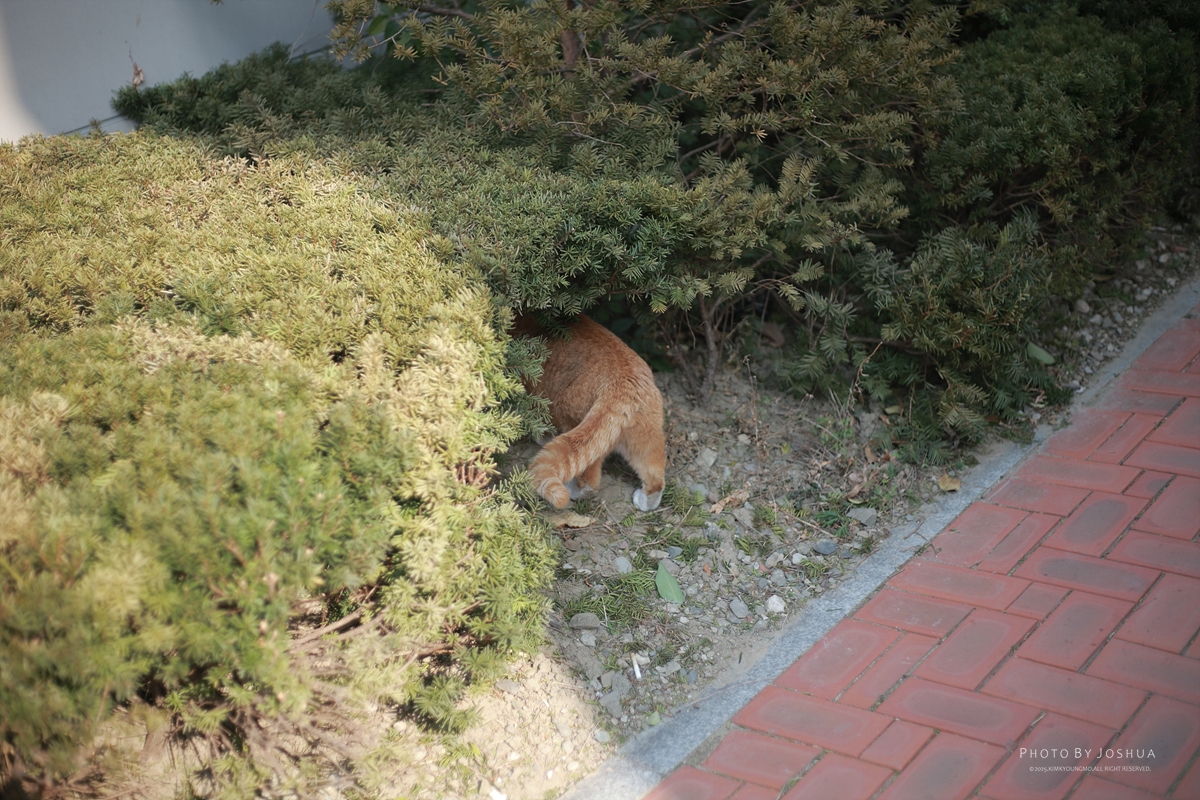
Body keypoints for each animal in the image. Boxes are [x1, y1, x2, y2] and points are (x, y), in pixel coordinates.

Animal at [512, 314, 666, 512]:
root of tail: (622, 386)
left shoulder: (534, 393)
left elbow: (539, 422)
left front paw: (541, 436)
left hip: (574, 421)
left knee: (590, 483)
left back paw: (573, 490)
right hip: (645, 441)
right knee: (655, 477)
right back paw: (646, 501)